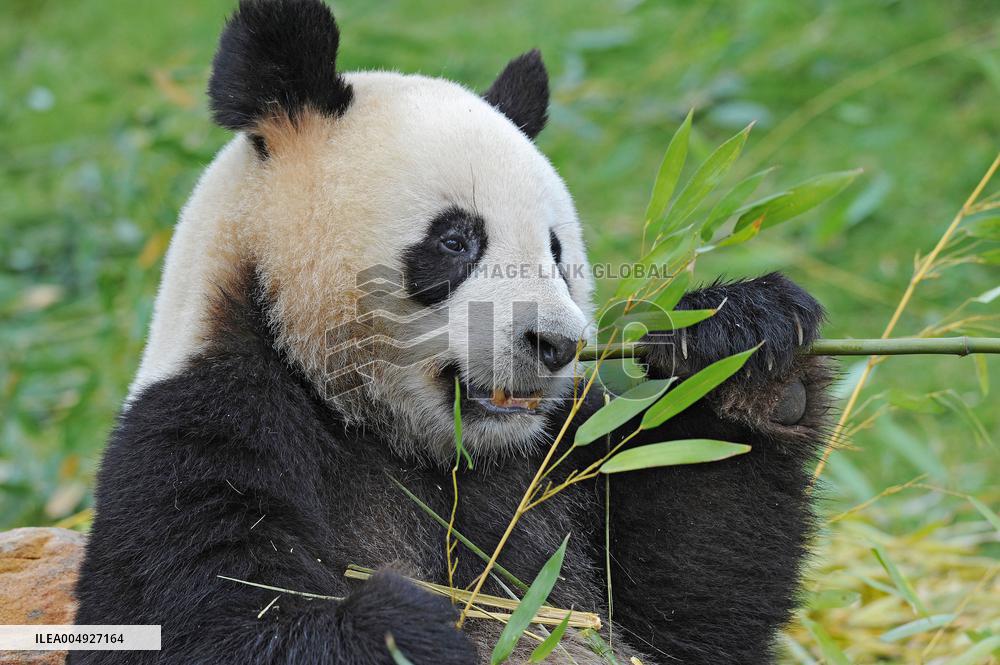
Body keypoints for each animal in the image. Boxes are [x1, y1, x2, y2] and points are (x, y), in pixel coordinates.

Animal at [73, 0, 833, 663]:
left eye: (557, 251)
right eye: (457, 240)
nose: (554, 345)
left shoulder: (560, 454)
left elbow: (693, 601)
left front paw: (747, 355)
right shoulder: (204, 428)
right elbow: (197, 616)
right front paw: (408, 626)